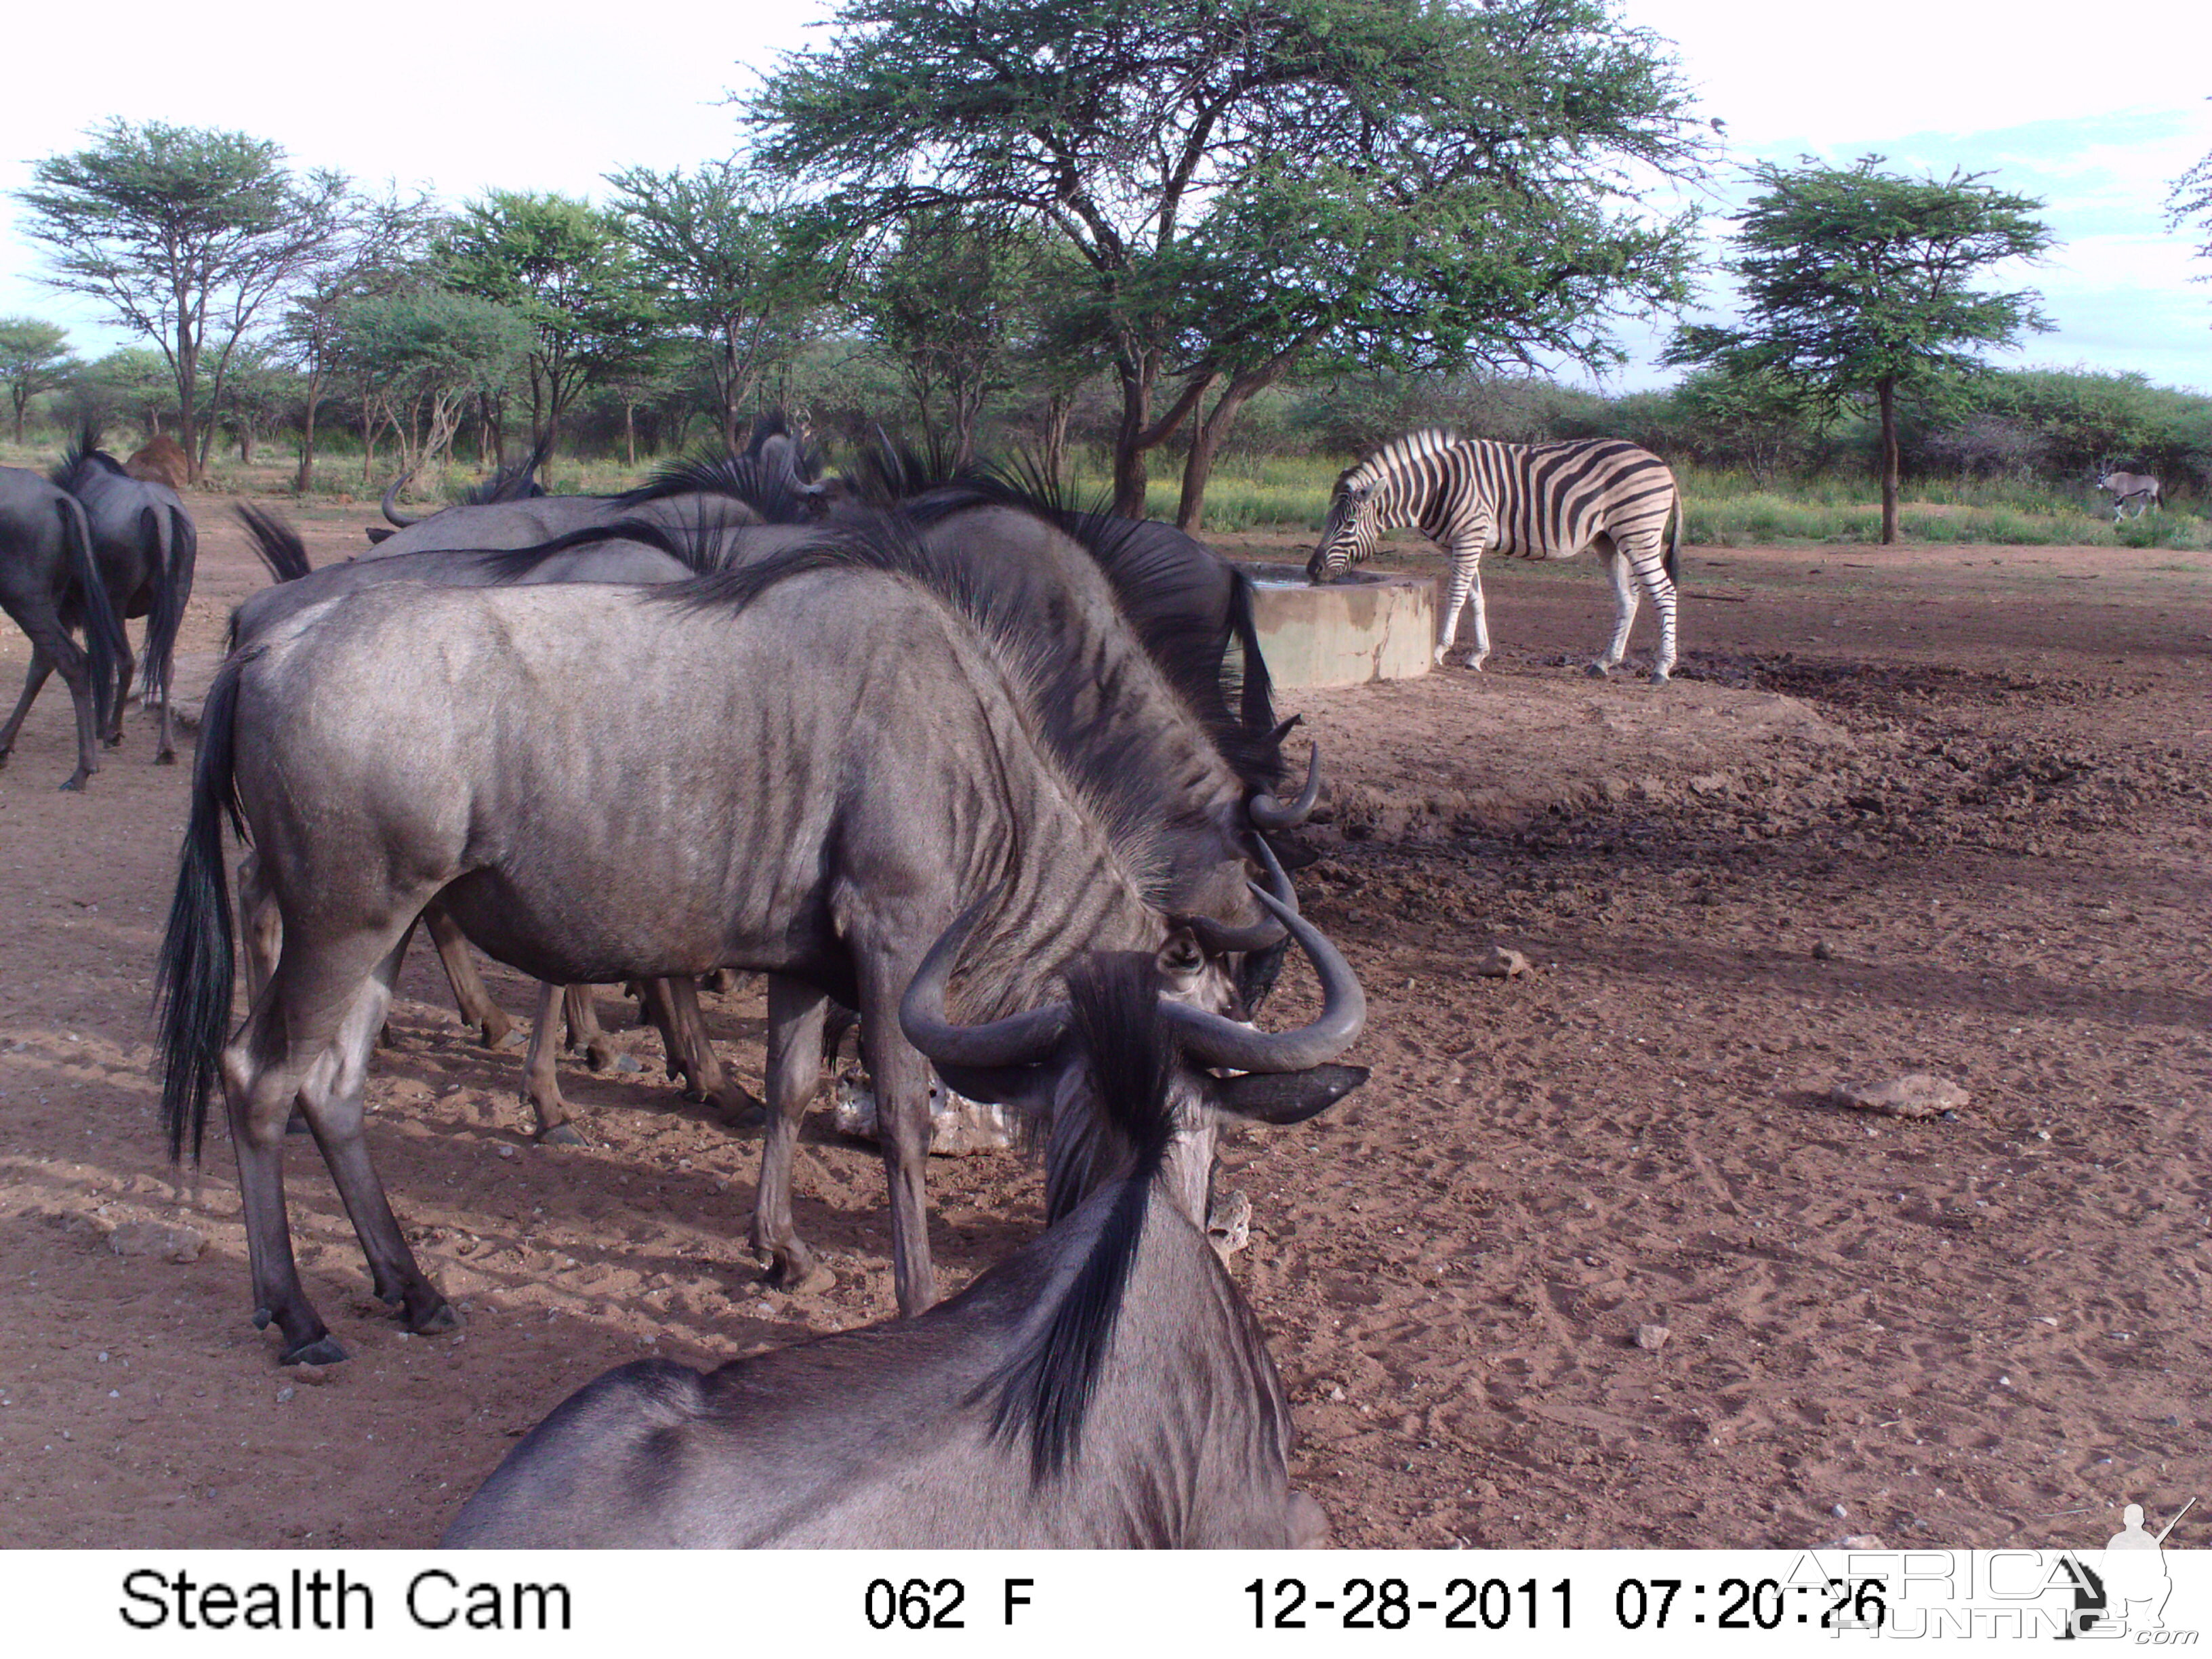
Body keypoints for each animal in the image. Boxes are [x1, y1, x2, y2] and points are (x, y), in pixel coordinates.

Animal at [1300, 436, 1681, 690]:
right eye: (1328, 519)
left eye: (1349, 524)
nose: (1311, 571)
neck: (1436, 488)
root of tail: (1662, 464)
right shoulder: (1456, 544)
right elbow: (1474, 597)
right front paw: (1477, 656)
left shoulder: (1470, 535)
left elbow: (1456, 594)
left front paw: (1438, 650)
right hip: (1609, 540)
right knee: (1628, 599)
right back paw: (1604, 663)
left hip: (1638, 533)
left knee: (1665, 593)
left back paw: (1662, 669)